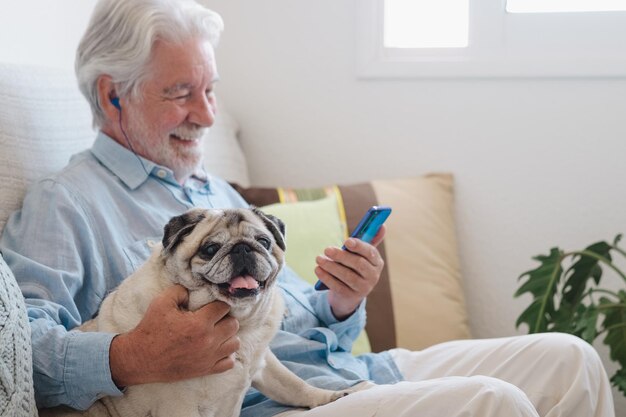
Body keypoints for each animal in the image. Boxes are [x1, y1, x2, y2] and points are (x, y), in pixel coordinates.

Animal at [44, 207, 356, 416]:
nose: (243, 248)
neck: (240, 324)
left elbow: (294, 385)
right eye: (210, 249)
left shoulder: (264, 365)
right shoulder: (179, 407)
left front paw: (328, 397)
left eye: (264, 242)